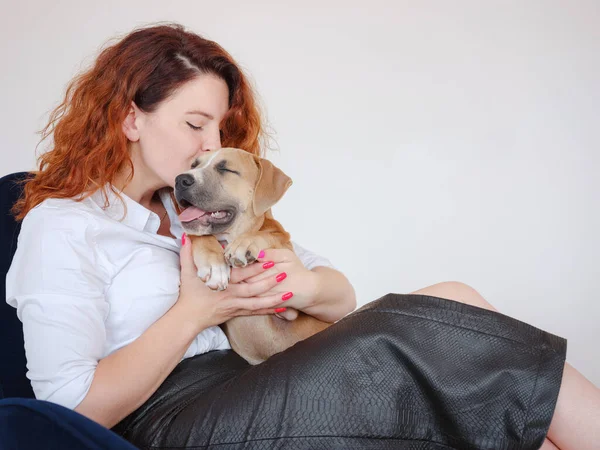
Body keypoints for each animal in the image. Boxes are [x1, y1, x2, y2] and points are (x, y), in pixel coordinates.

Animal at [173, 148, 332, 366]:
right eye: (193, 165)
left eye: (225, 169)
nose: (180, 180)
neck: (229, 236)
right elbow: (199, 235)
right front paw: (215, 264)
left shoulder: (285, 252)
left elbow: (268, 236)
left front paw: (245, 244)